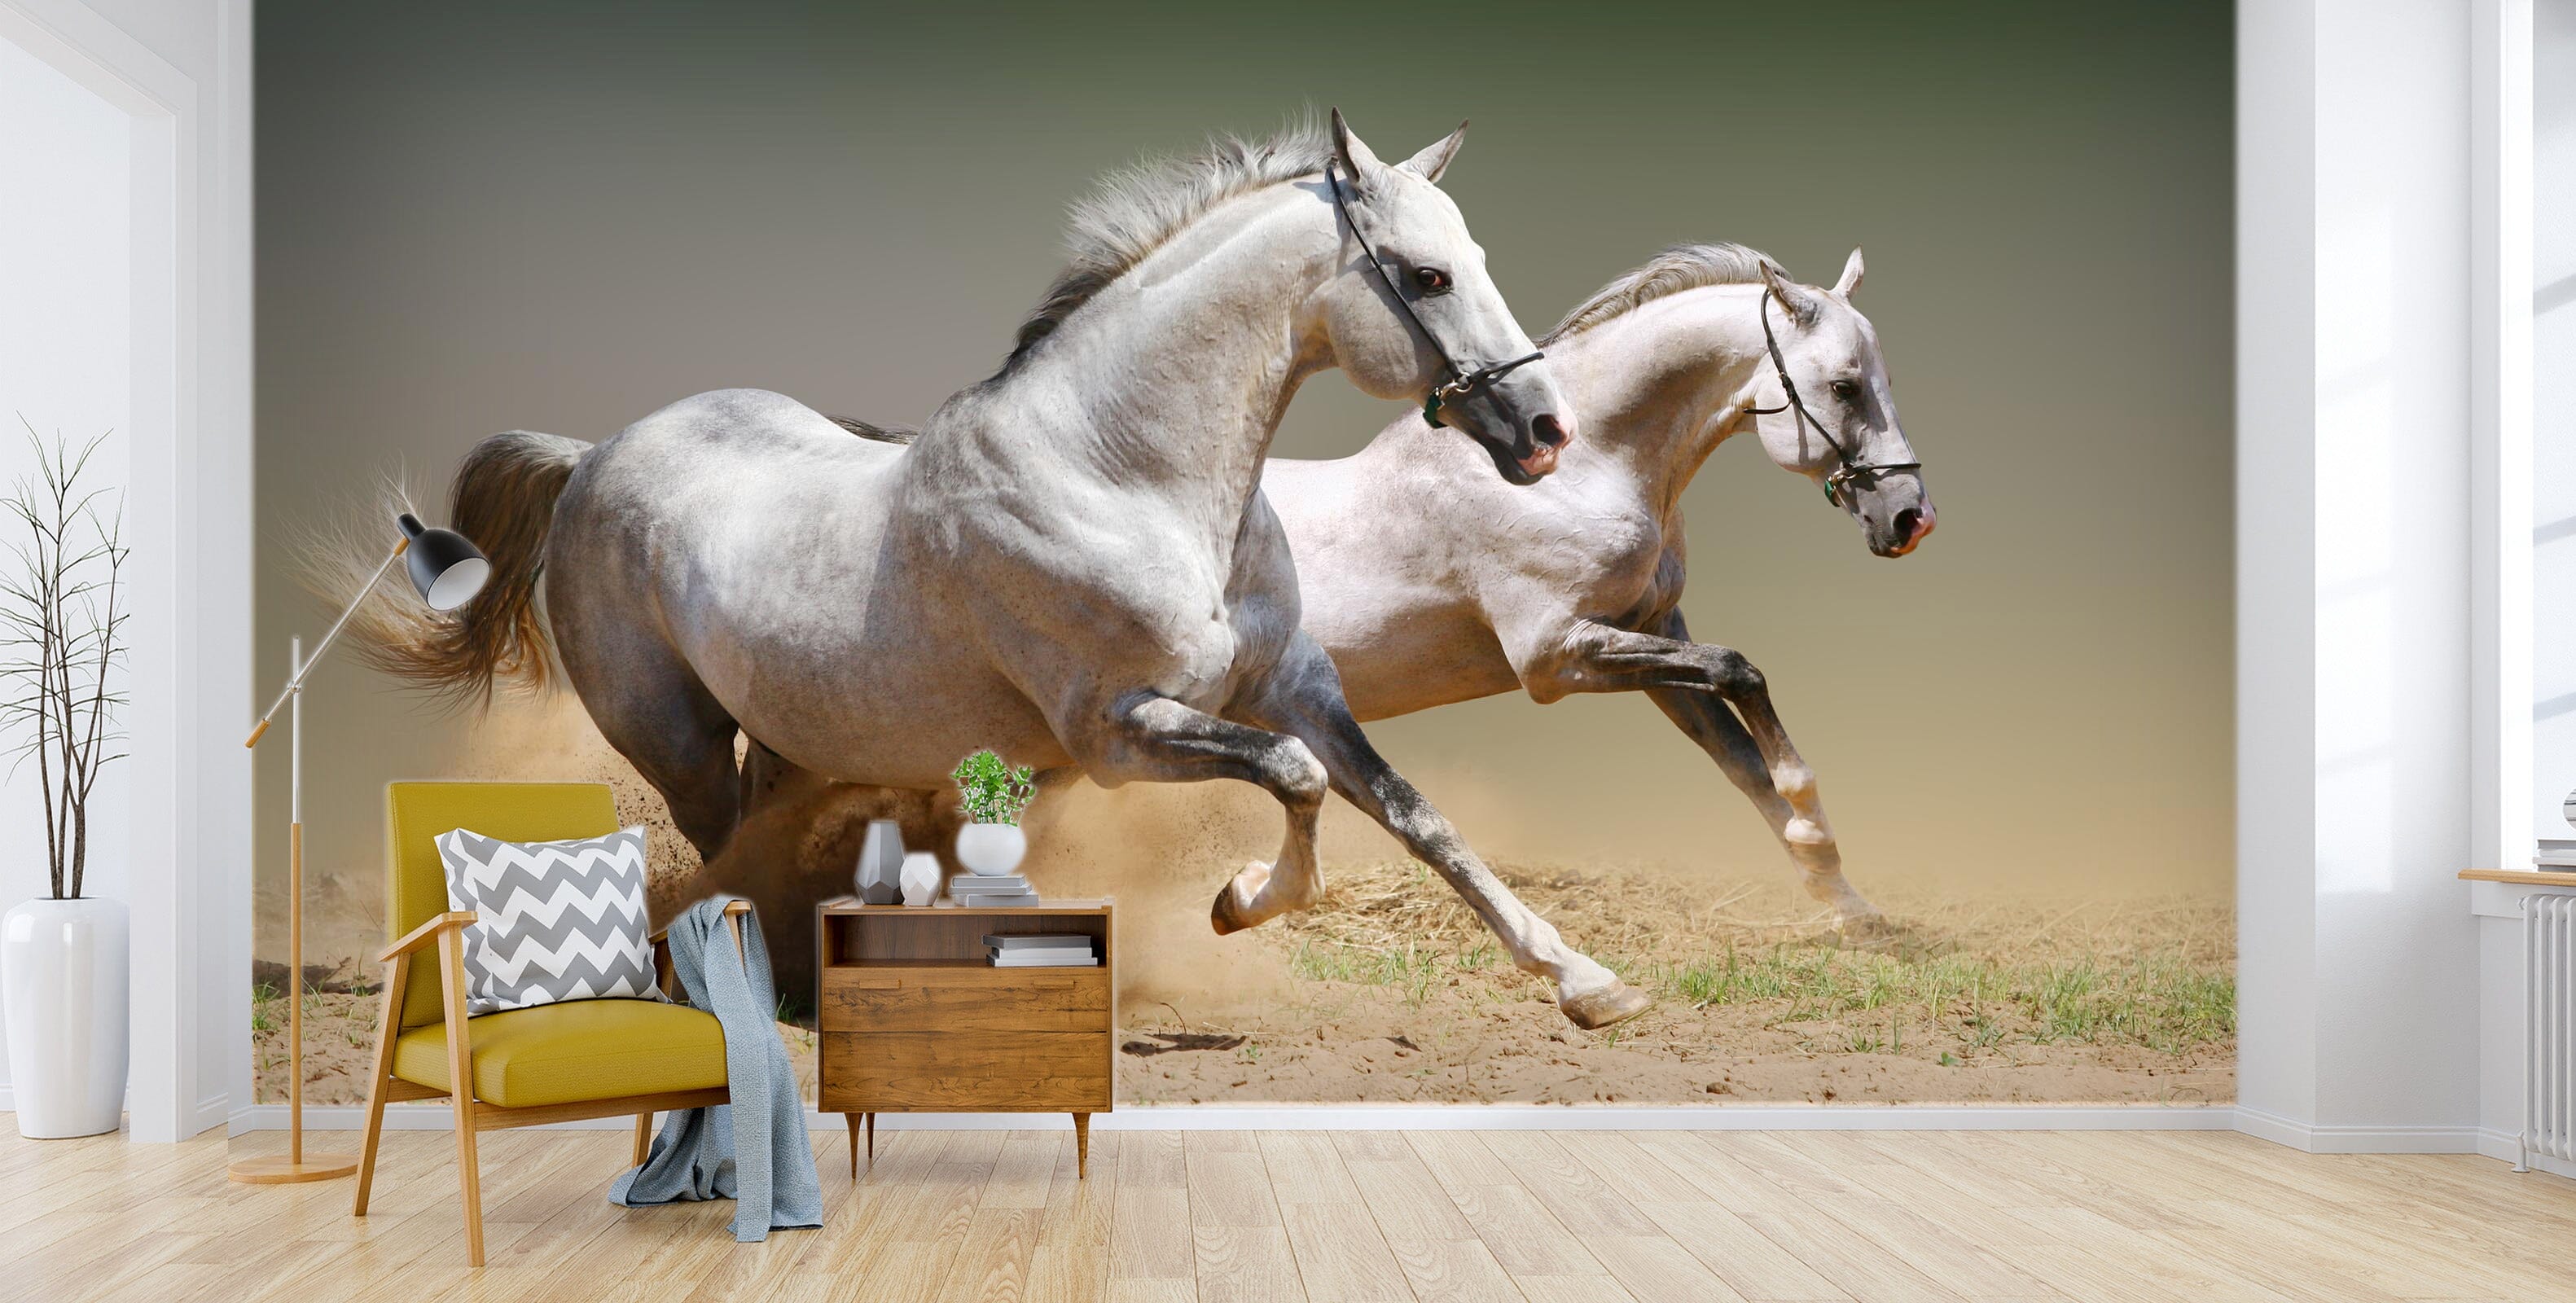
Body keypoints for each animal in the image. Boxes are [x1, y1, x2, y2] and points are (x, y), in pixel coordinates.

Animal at [339, 114, 1656, 1030]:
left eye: (1472, 255)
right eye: (1426, 275)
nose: (1544, 430)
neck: (1122, 474)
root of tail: (592, 456)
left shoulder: (1293, 687)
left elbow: (1414, 816)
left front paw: (1586, 982)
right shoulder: (1117, 731)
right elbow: (1291, 783)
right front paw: (1238, 902)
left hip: (792, 735)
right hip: (678, 744)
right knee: (721, 861)